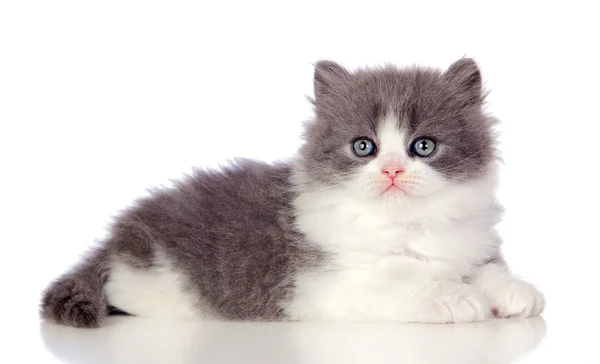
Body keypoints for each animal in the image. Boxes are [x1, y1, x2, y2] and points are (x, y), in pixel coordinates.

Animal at [38, 58, 544, 328]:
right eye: (364, 147)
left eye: (424, 146)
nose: (393, 171)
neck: (403, 226)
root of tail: (119, 234)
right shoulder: (321, 286)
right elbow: (393, 280)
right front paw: (449, 296)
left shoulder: (468, 240)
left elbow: (486, 268)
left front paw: (514, 291)